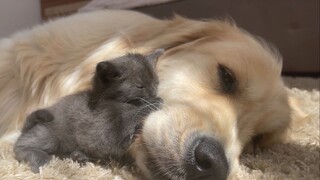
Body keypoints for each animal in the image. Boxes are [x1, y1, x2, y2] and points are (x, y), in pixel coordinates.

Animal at [13, 49, 164, 173]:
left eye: (156, 83)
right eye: (140, 86)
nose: (153, 93)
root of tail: (26, 129)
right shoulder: (100, 131)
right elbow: (128, 117)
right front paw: (153, 103)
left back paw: (78, 156)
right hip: (49, 136)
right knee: (20, 146)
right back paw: (40, 160)